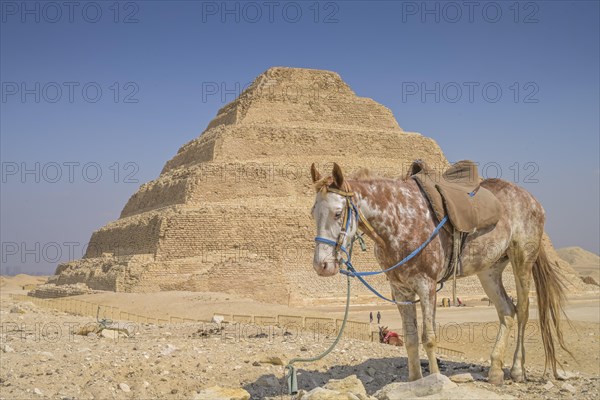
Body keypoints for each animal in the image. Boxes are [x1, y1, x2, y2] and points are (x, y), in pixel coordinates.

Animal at [312, 162, 568, 384]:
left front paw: (434, 379)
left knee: (523, 310)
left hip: (523, 258)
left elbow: (429, 338)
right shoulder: (400, 289)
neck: (399, 219)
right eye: (313, 213)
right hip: (489, 269)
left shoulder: (427, 284)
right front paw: (415, 381)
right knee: (507, 310)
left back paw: (516, 370)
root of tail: (533, 200)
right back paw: (495, 371)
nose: (321, 265)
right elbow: (411, 338)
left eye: (337, 213)